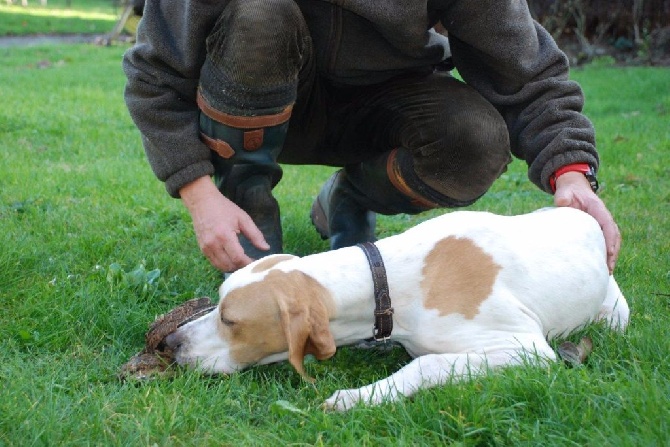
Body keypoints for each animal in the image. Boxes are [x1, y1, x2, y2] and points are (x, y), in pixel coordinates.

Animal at [167, 208, 632, 412]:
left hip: (615, 316)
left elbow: (427, 364)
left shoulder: (528, 351)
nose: (170, 343)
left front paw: (356, 396)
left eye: (230, 320)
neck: (385, 277)